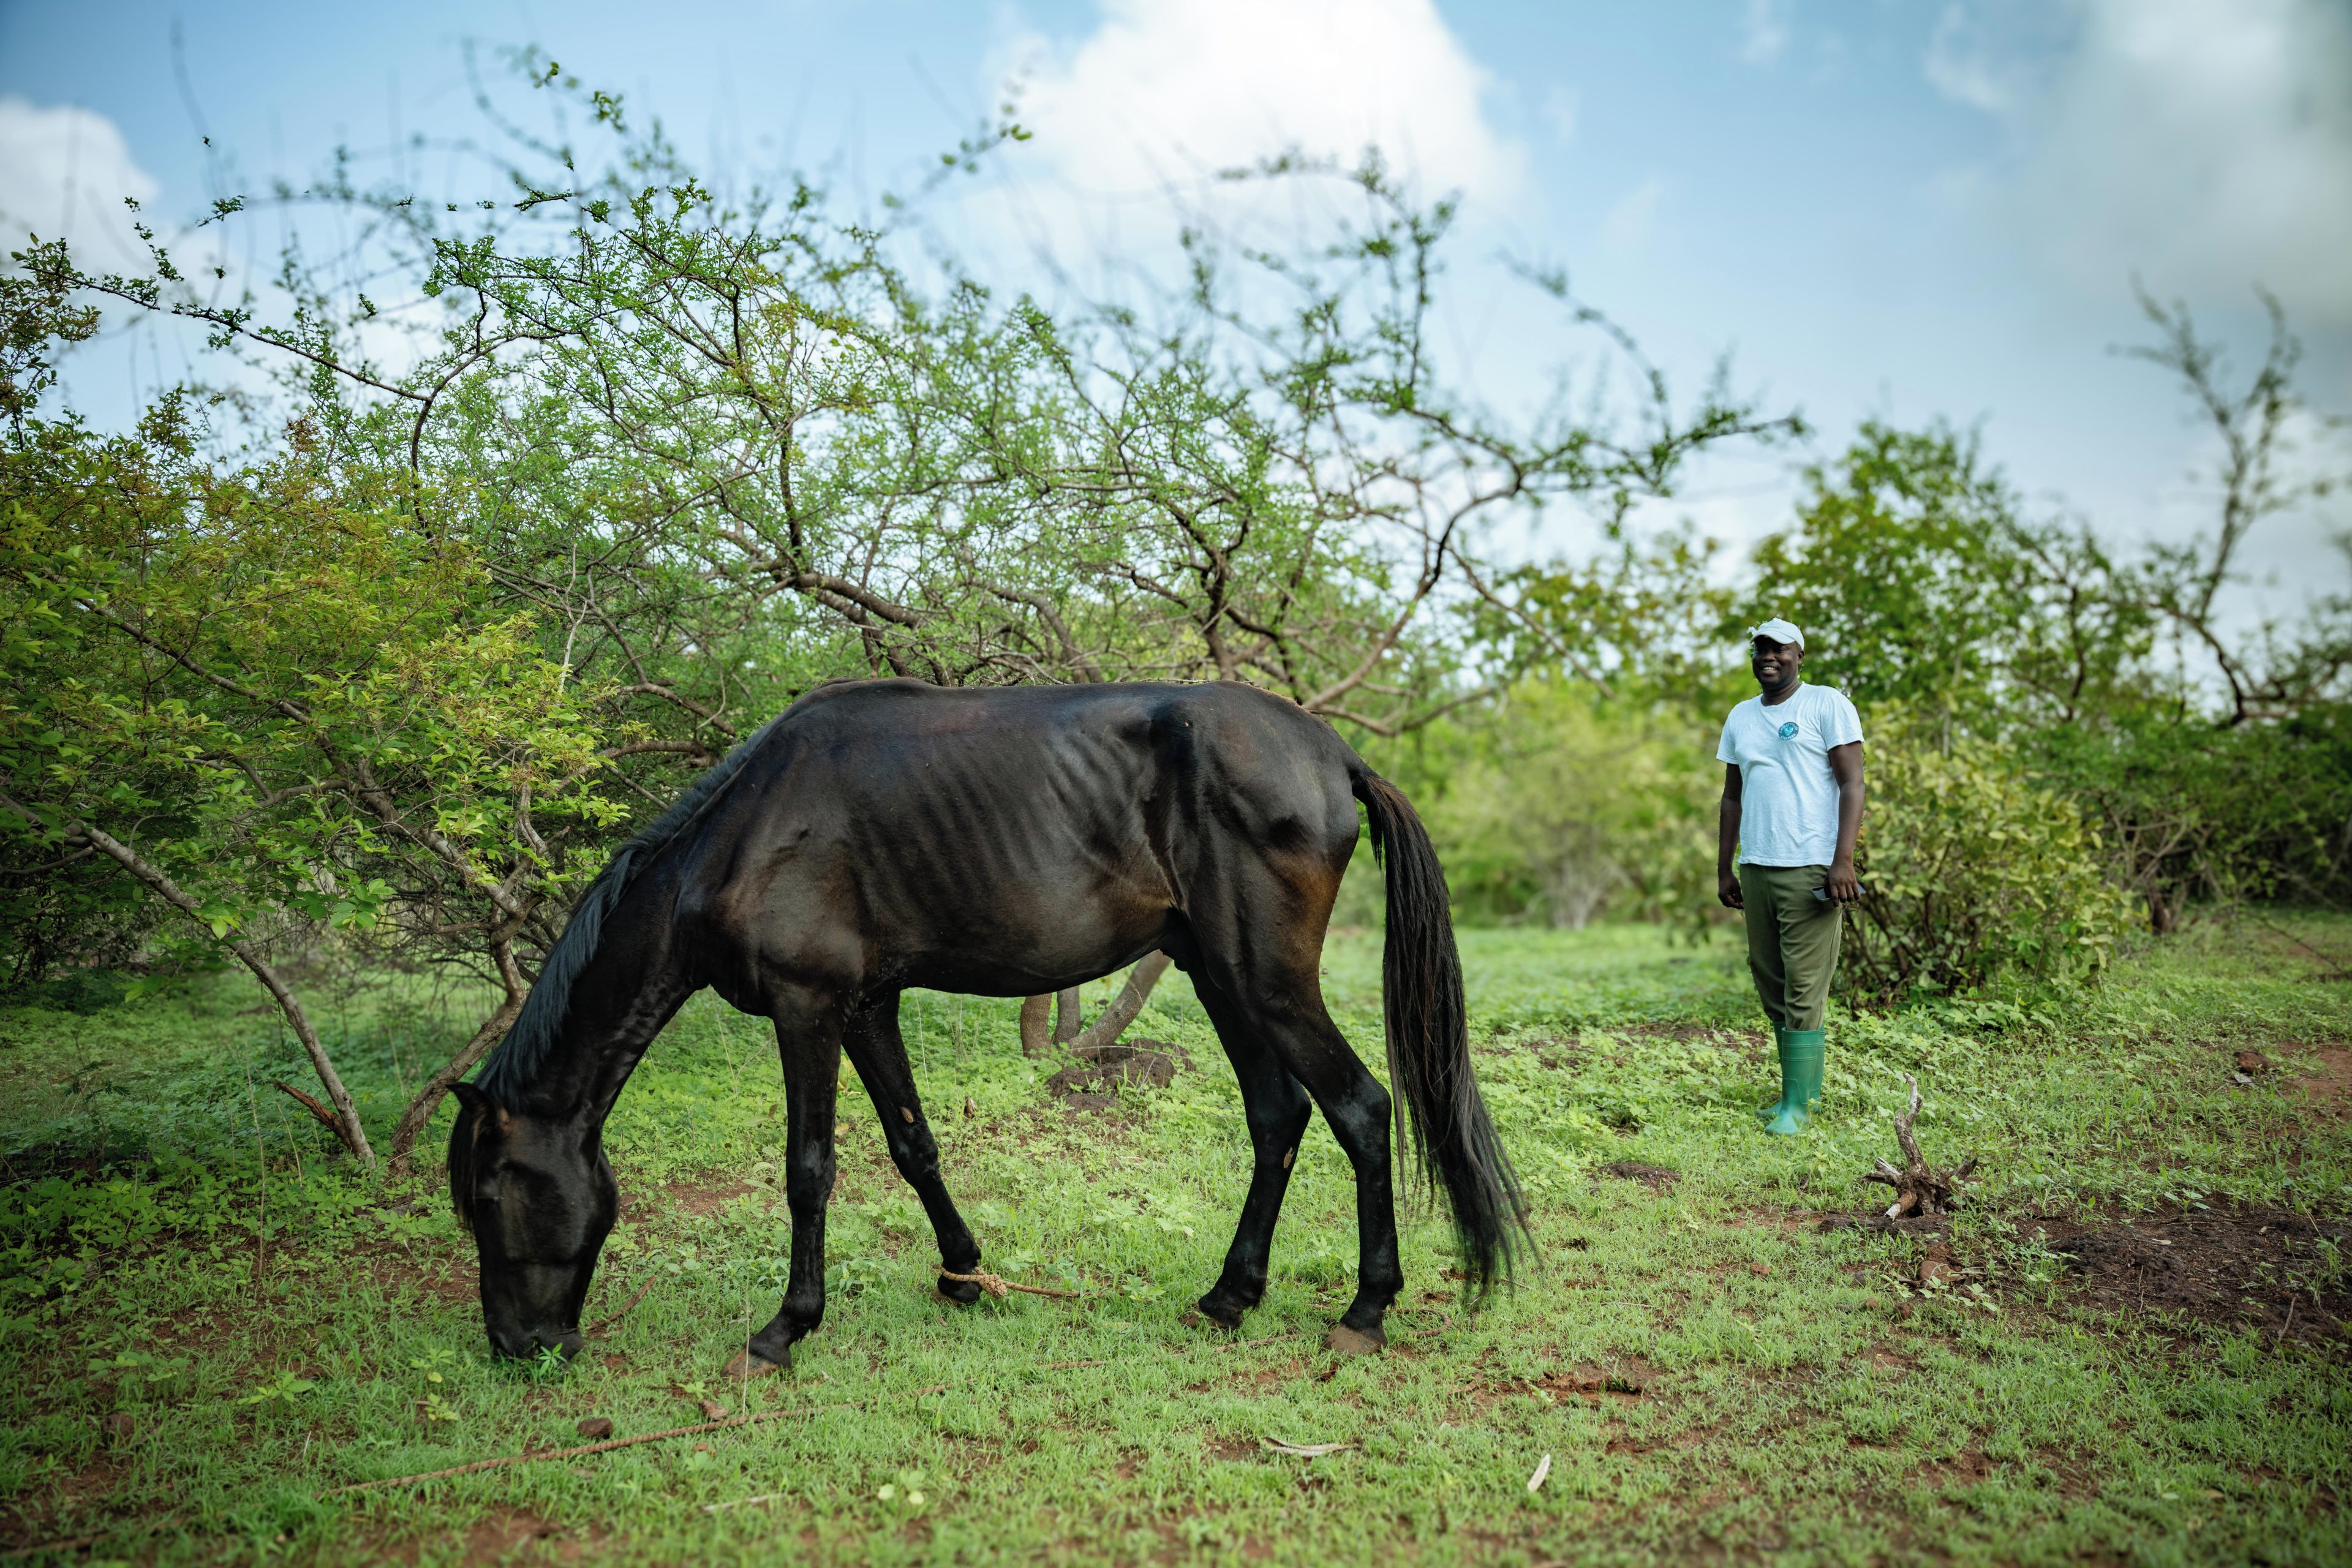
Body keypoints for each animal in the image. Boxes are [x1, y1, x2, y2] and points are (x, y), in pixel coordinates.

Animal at [447, 678, 1522, 1372]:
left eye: (490, 1195)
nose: (516, 1348)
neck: (749, 832)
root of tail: (1332, 753)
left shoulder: (808, 1009)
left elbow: (809, 1170)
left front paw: (787, 1329)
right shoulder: (866, 1007)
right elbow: (912, 1144)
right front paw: (962, 1274)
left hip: (1266, 982)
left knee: (1361, 1110)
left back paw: (1365, 1311)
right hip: (1222, 978)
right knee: (1279, 1118)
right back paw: (1228, 1297)